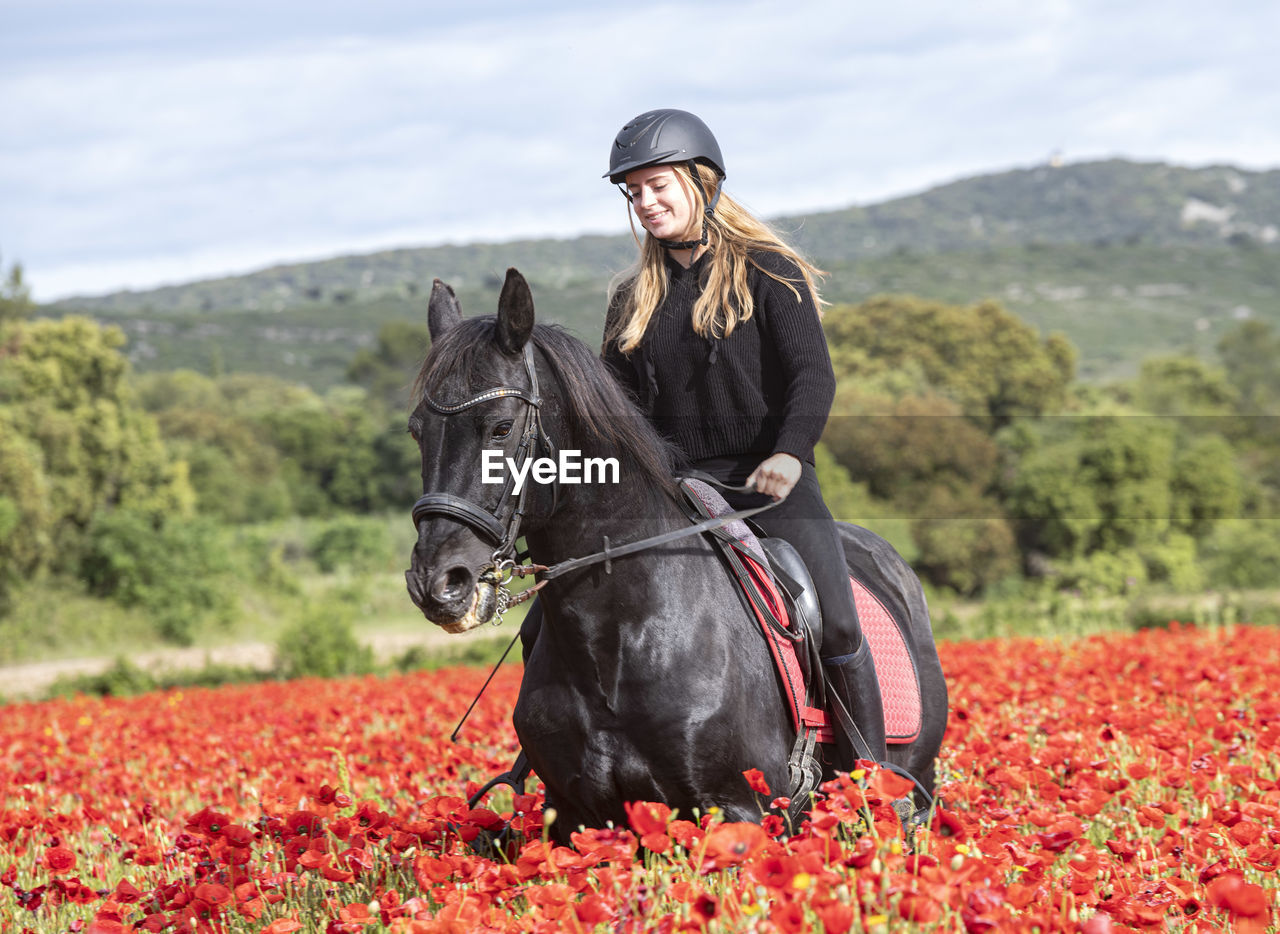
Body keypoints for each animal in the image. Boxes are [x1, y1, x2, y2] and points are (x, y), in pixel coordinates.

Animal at [404, 266, 947, 839]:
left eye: (502, 427)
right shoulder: (577, 822)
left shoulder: (737, 810)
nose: (438, 582)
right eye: (417, 432)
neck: (617, 637)